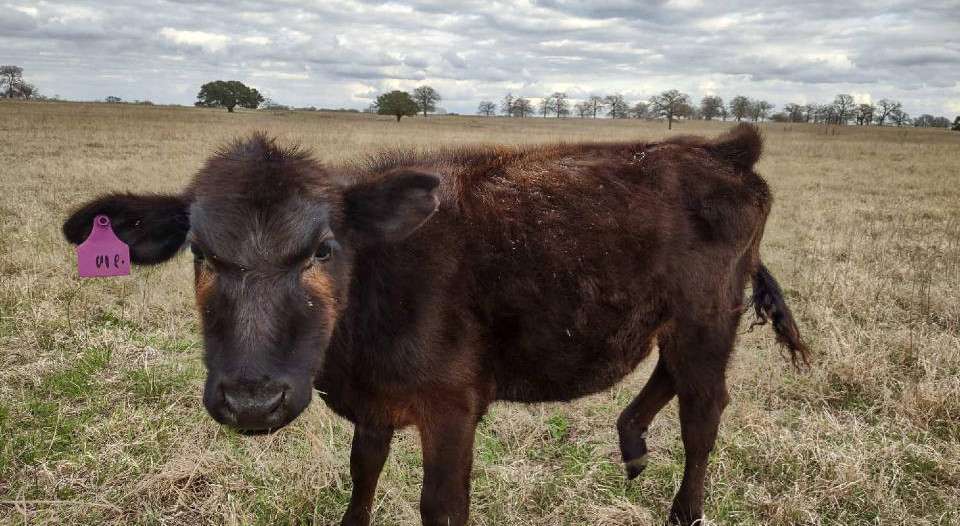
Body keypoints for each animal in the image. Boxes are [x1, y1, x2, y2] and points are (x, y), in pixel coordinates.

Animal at [63, 125, 808, 526]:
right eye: (201, 252)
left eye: (323, 249)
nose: (252, 399)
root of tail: (719, 146)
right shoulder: (375, 404)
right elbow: (362, 476)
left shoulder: (451, 407)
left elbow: (441, 505)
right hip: (676, 318)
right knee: (669, 376)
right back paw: (630, 443)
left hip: (708, 316)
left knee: (703, 412)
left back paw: (683, 507)